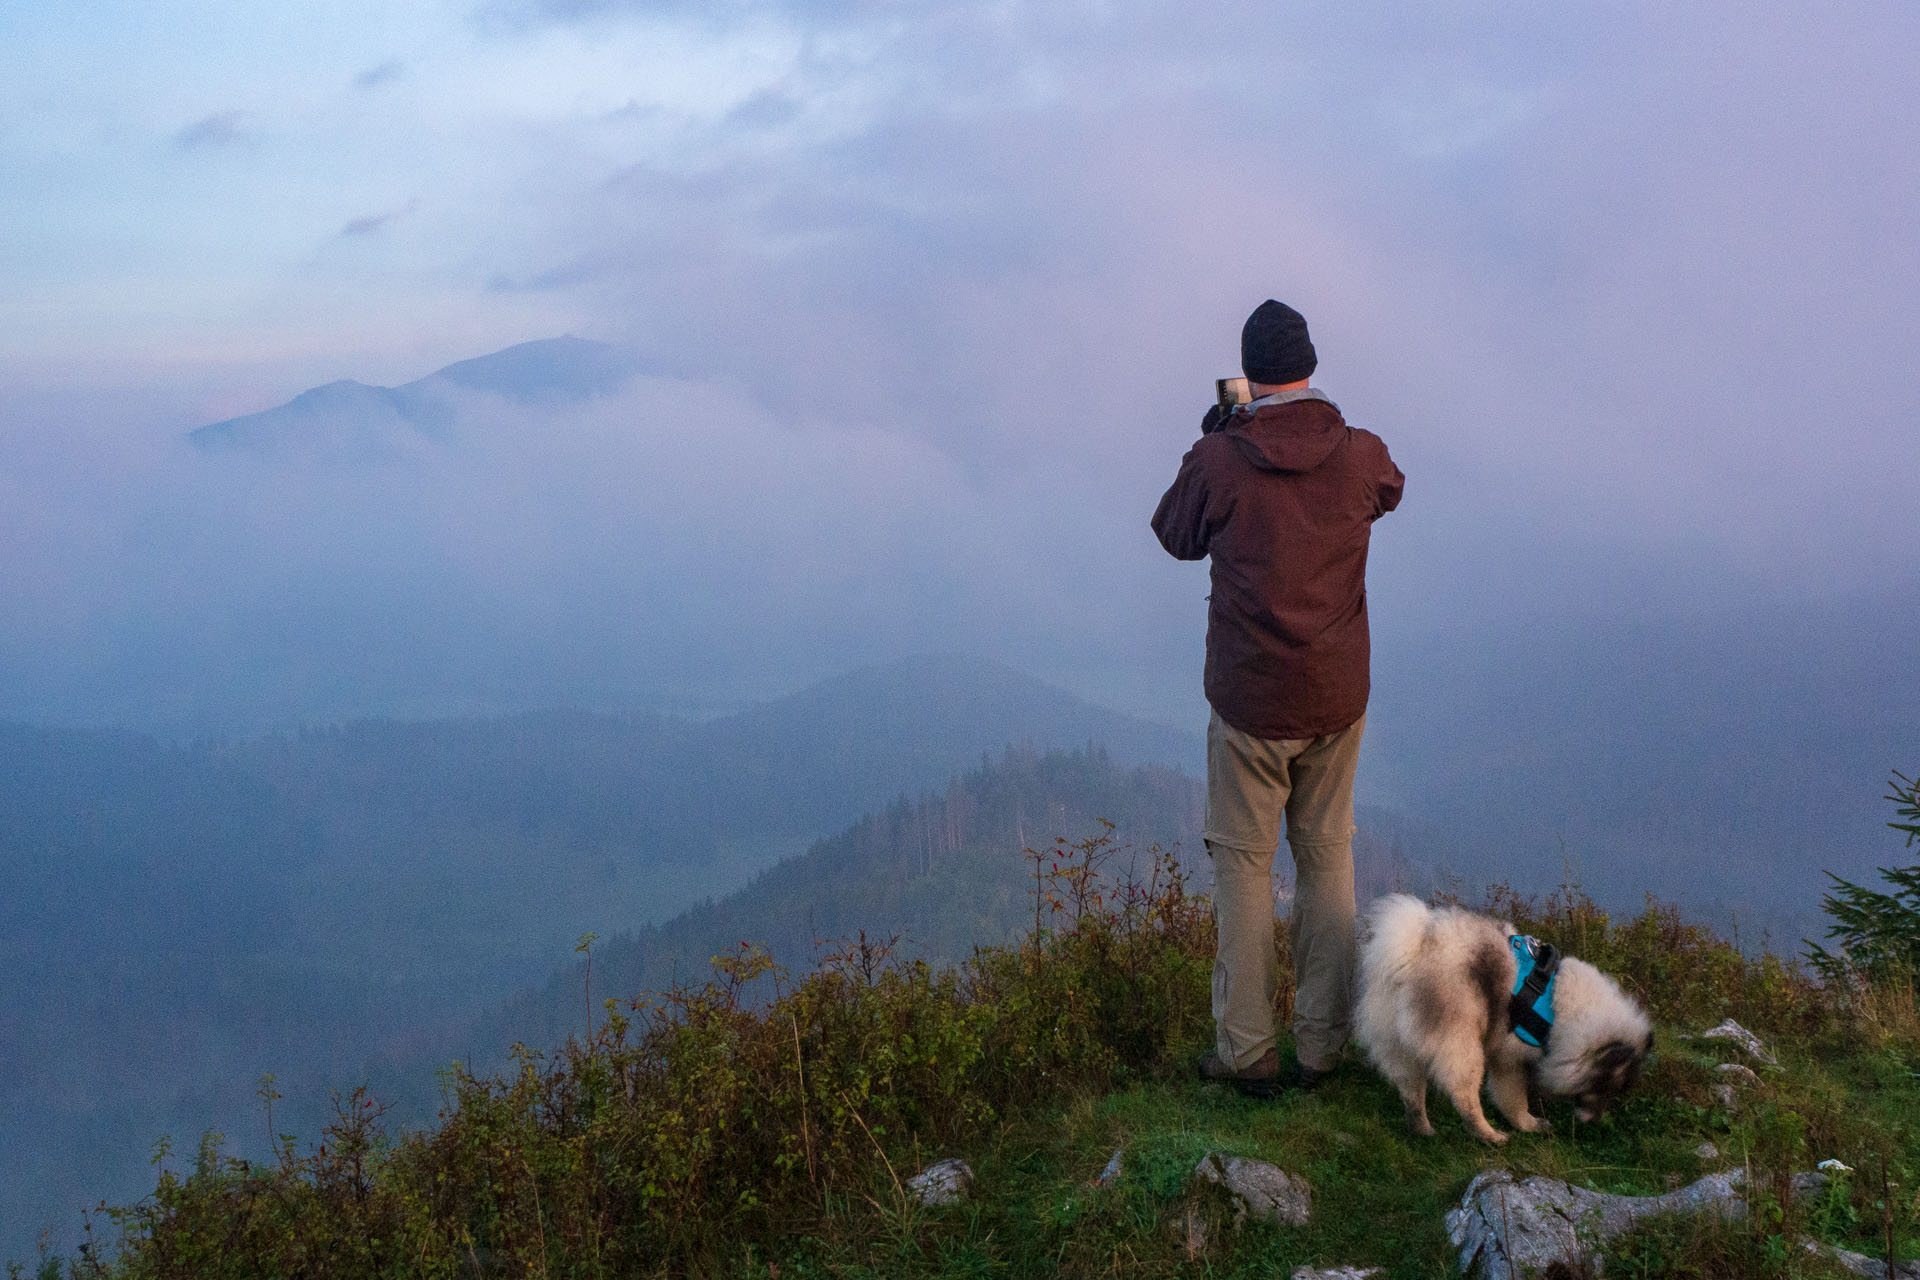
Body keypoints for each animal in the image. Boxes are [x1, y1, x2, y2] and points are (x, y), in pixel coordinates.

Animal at [1351, 898, 1651, 1143]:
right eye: (1604, 1087)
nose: (1595, 1121)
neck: (1564, 1011)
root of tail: (1411, 953)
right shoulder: (1511, 1058)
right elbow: (1515, 1098)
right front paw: (1527, 1124)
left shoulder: (1506, 1059)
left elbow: (1511, 1100)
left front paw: (1528, 1125)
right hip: (1462, 1042)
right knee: (1464, 1094)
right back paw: (1488, 1135)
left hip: (1398, 1044)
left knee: (1411, 1090)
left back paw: (1422, 1128)